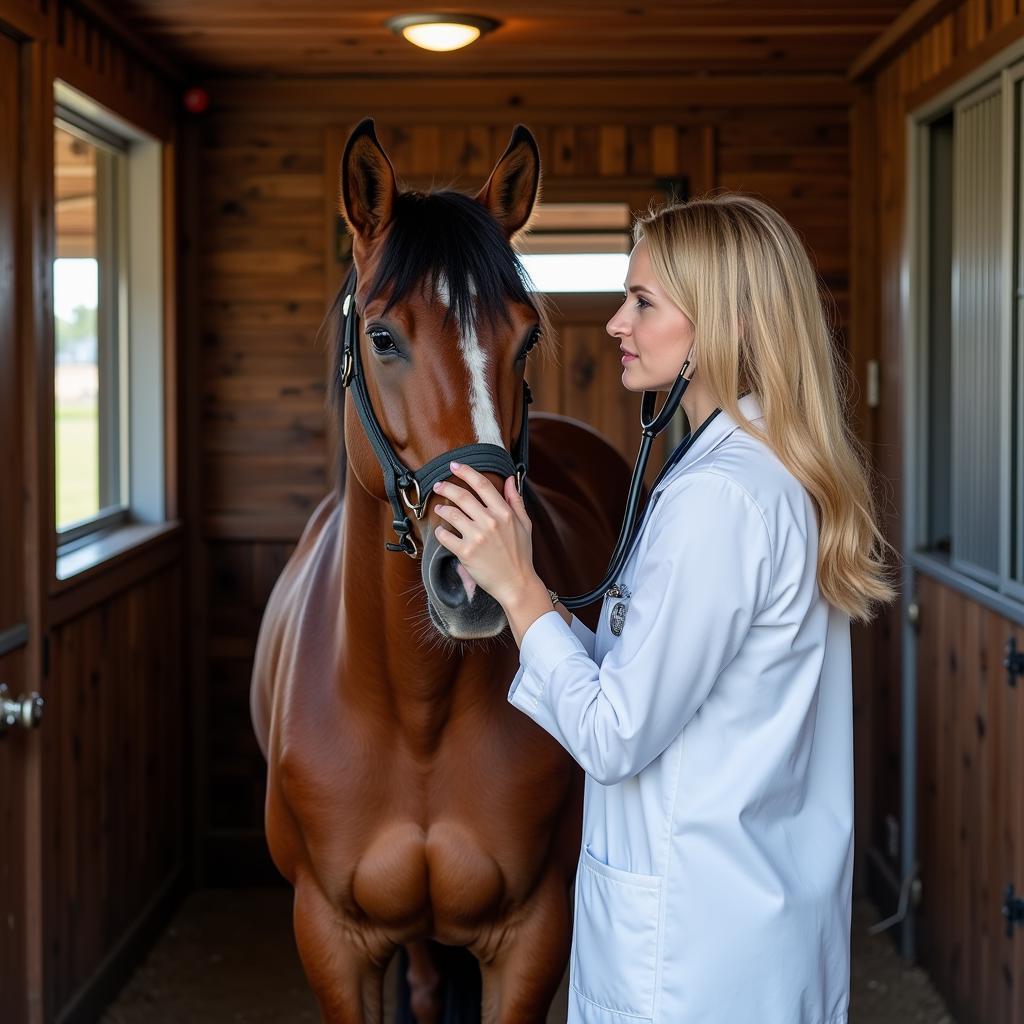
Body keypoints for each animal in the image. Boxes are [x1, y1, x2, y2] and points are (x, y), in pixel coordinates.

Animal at [247, 121, 630, 1024]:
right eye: (383, 336)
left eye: (526, 338)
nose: (478, 578)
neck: (413, 713)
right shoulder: (331, 939)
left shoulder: (530, 935)